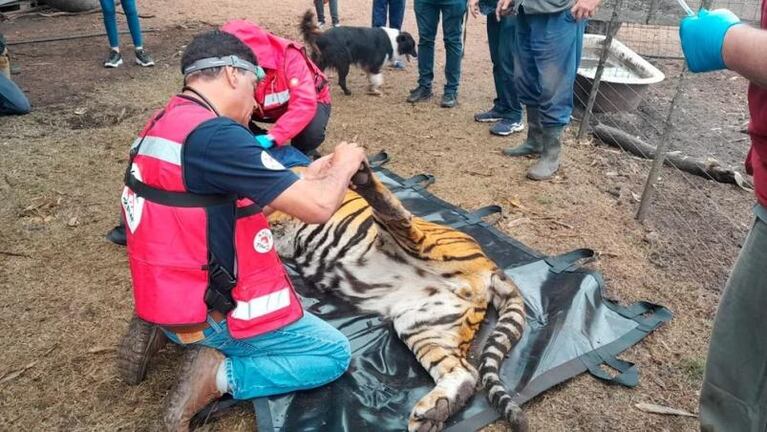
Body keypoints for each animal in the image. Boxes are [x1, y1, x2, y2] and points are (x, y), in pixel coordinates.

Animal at [268, 163, 532, 432]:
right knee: (465, 372)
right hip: (424, 324)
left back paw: (363, 179)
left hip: (418, 242)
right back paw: (432, 414)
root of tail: (490, 264)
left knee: (400, 216)